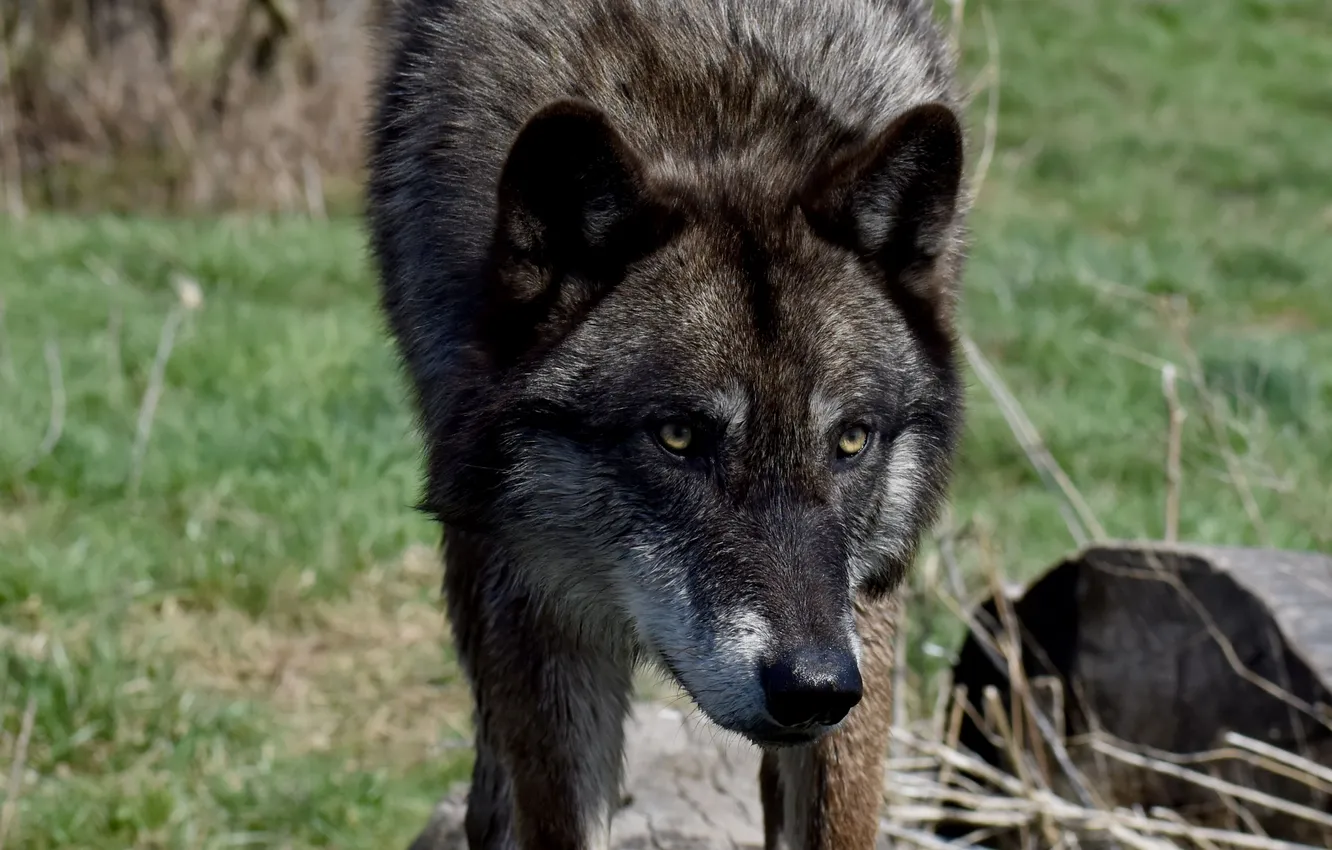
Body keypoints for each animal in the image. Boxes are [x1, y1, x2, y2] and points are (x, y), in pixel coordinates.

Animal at [364, 0, 970, 846]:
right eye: (678, 437)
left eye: (851, 440)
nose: (812, 688)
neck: (709, 103)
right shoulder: (534, 599)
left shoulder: (866, 602)